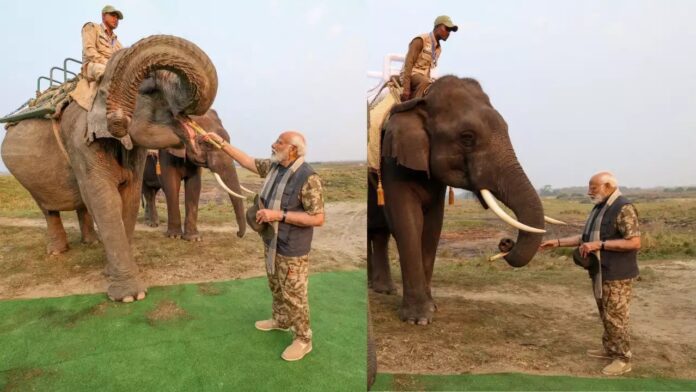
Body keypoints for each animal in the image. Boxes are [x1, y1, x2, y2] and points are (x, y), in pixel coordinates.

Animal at [0, 35, 218, 302]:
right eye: (149, 89)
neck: (100, 85)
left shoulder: (134, 150)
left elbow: (130, 197)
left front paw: (111, 273)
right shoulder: (79, 140)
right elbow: (105, 198)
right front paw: (130, 296)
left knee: (82, 203)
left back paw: (91, 243)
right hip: (24, 173)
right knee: (48, 208)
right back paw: (57, 252)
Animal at [141, 108, 247, 240]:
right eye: (206, 144)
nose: (238, 234)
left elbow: (194, 185)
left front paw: (193, 238)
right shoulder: (166, 152)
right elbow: (171, 184)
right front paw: (174, 236)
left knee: (153, 192)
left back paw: (149, 221)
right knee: (148, 193)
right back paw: (153, 224)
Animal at [368, 76, 548, 324]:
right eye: (467, 138)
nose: (505, 243)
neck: (422, 98)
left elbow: (433, 225)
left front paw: (432, 308)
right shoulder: (392, 159)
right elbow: (407, 222)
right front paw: (418, 319)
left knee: (379, 232)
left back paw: (383, 290)